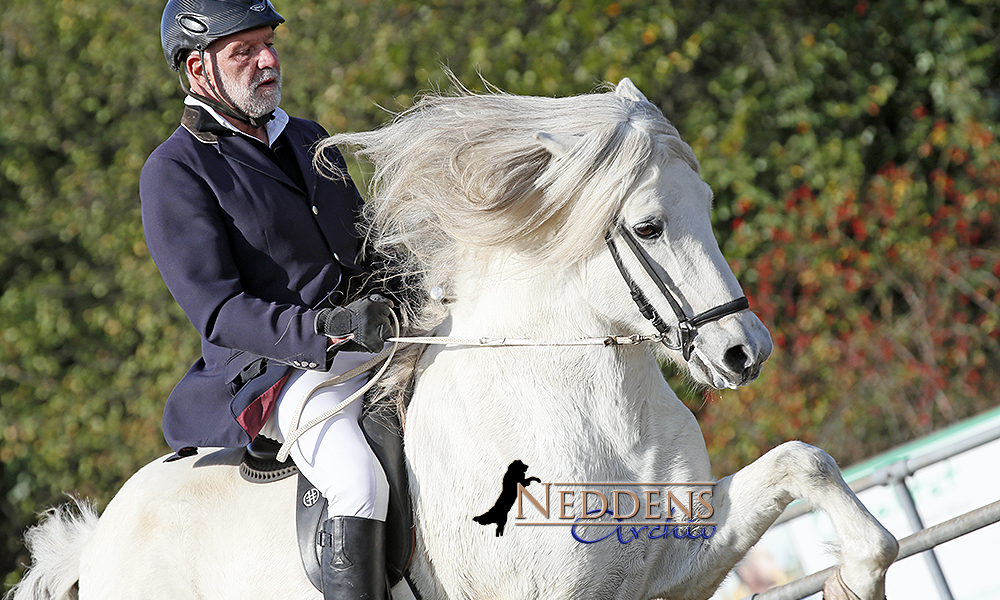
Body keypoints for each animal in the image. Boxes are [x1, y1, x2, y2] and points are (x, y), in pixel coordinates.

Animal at [7, 79, 900, 600]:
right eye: (648, 226)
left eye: (709, 205)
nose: (746, 352)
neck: (595, 414)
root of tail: (100, 539)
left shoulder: (669, 565)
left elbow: (804, 462)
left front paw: (859, 575)